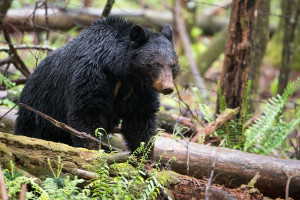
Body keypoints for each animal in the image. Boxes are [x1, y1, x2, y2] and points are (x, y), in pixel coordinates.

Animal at [15, 17, 179, 152]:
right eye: (156, 64)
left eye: (173, 65)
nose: (168, 88)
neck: (121, 71)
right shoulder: (91, 73)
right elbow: (86, 110)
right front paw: (95, 147)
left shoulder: (139, 88)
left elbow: (140, 118)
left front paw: (145, 156)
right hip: (40, 108)